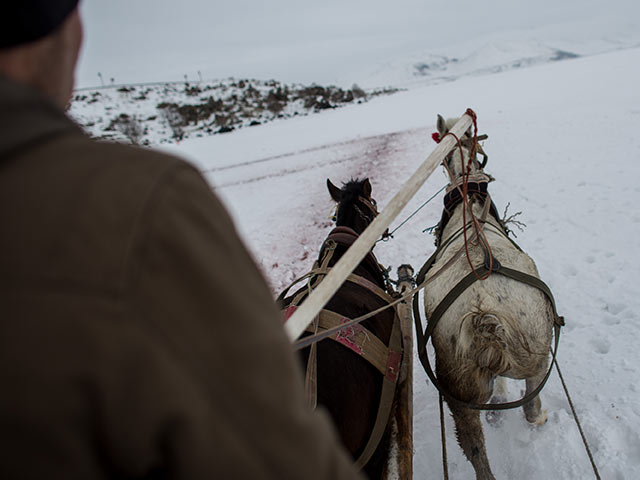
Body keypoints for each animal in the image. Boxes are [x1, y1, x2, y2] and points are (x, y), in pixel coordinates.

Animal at [422, 114, 556, 478]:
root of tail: (483, 315)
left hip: (461, 390)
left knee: (476, 444)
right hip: (537, 355)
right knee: (527, 405)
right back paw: (538, 415)